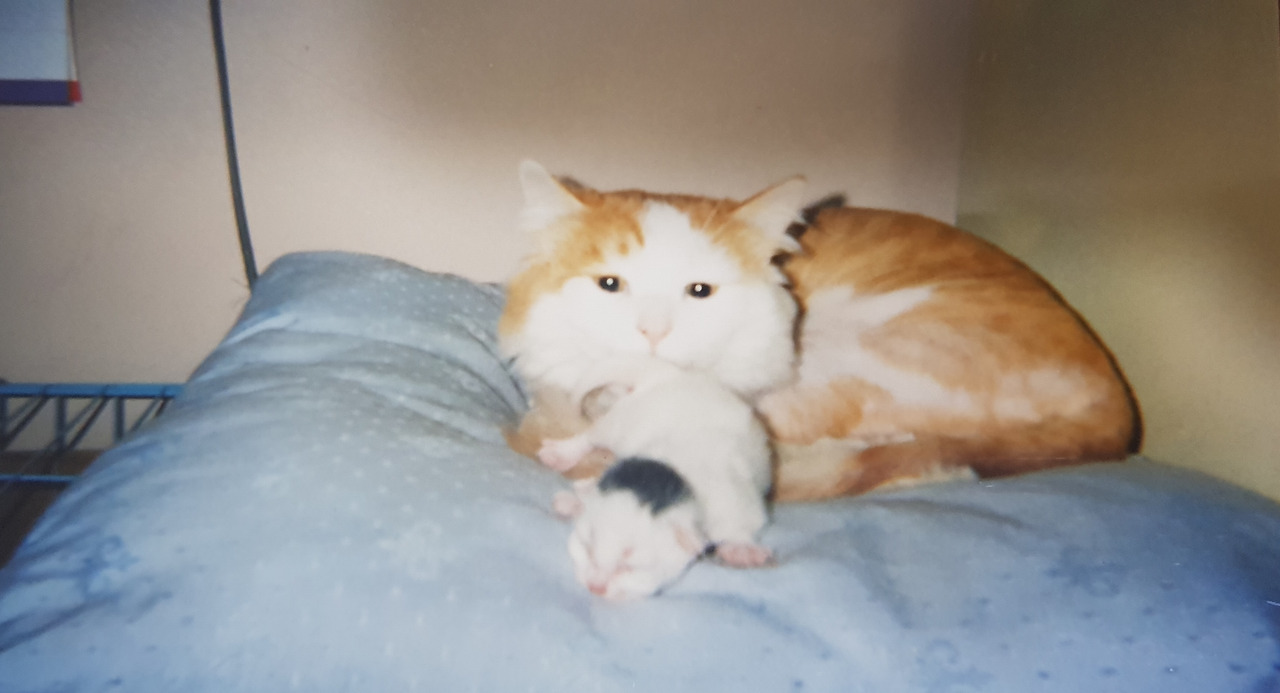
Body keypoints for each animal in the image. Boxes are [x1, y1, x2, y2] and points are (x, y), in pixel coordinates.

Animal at [541, 362, 774, 600]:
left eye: (630, 566)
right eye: (587, 548)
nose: (595, 588)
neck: (675, 475)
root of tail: (669, 376)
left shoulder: (735, 500)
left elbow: (743, 524)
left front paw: (741, 548)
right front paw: (576, 500)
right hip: (623, 420)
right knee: (591, 437)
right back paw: (562, 454)